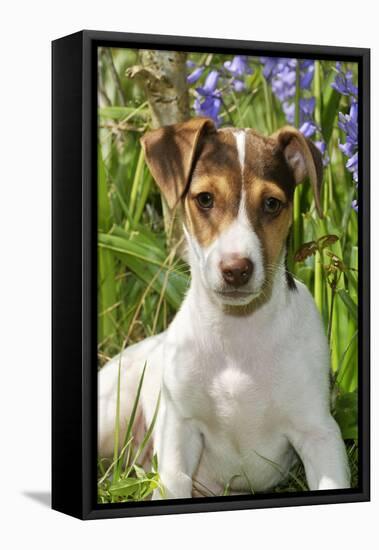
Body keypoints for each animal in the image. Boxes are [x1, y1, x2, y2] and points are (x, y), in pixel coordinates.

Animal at [97, 117, 350, 500]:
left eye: (272, 204)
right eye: (205, 199)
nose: (236, 269)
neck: (237, 332)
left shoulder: (319, 433)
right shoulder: (179, 436)